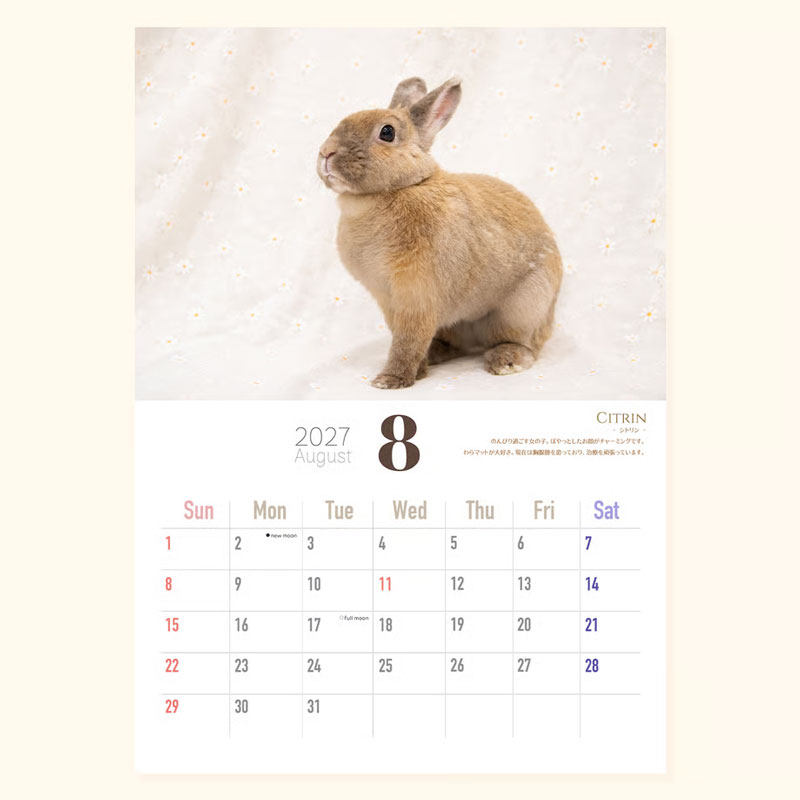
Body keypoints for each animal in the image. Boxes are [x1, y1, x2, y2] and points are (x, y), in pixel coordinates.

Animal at [317, 76, 562, 389]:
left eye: (387, 132)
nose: (326, 153)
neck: (401, 188)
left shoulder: (418, 294)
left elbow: (408, 341)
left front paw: (390, 380)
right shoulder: (388, 300)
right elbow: (406, 337)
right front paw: (416, 372)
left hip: (522, 308)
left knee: (524, 342)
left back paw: (507, 360)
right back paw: (436, 354)